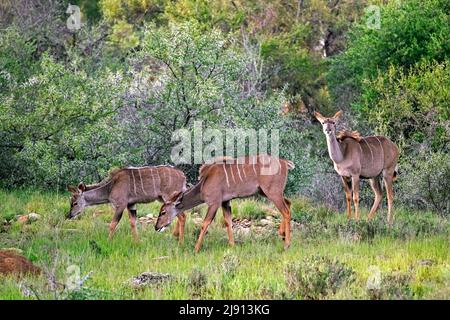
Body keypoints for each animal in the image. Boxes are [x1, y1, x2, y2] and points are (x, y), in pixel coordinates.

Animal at [155, 154, 296, 251]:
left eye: (163, 212)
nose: (156, 227)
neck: (204, 184)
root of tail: (285, 163)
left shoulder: (214, 202)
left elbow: (205, 223)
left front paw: (196, 248)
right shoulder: (225, 202)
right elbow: (228, 221)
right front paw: (232, 245)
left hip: (272, 192)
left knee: (286, 211)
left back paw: (287, 244)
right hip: (267, 192)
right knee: (288, 203)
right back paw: (282, 234)